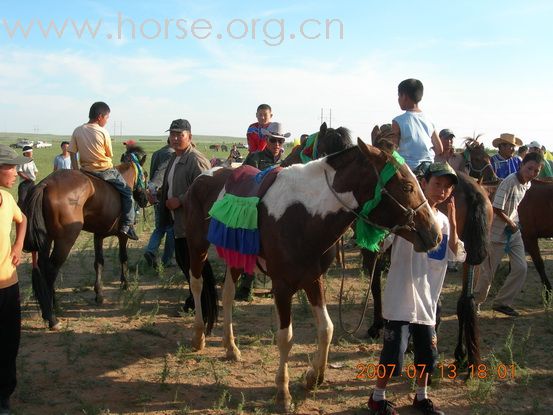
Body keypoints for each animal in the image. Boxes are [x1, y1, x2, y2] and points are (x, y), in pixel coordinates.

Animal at [22, 150, 148, 332]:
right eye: (145, 174)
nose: (146, 199)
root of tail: (46, 184)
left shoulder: (98, 235)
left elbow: (99, 263)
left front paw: (99, 294)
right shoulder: (122, 235)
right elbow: (123, 257)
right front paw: (125, 284)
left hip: (46, 239)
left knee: (43, 267)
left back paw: (52, 307)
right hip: (65, 240)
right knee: (52, 269)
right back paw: (52, 316)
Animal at [183, 135, 442, 414]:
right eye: (407, 186)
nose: (435, 234)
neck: (304, 215)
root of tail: (204, 176)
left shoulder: (313, 280)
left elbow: (326, 328)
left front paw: (313, 377)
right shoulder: (282, 286)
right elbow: (285, 337)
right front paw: (282, 392)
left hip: (236, 257)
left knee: (228, 295)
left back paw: (231, 348)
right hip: (197, 246)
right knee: (197, 284)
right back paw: (198, 335)